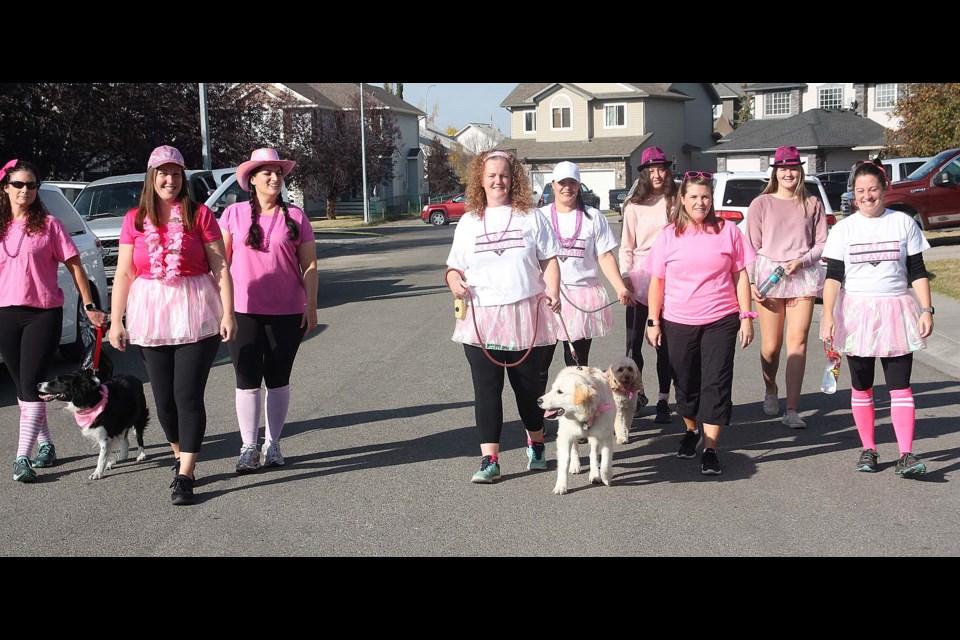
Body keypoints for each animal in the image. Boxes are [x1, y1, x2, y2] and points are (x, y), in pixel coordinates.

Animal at [540, 364, 616, 496]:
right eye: (552, 389)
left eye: (560, 392)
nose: (538, 401)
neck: (584, 417)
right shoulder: (564, 437)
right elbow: (564, 462)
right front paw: (561, 486)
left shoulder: (605, 436)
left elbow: (605, 463)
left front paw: (606, 478)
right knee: (574, 448)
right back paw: (575, 466)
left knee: (593, 454)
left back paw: (594, 474)